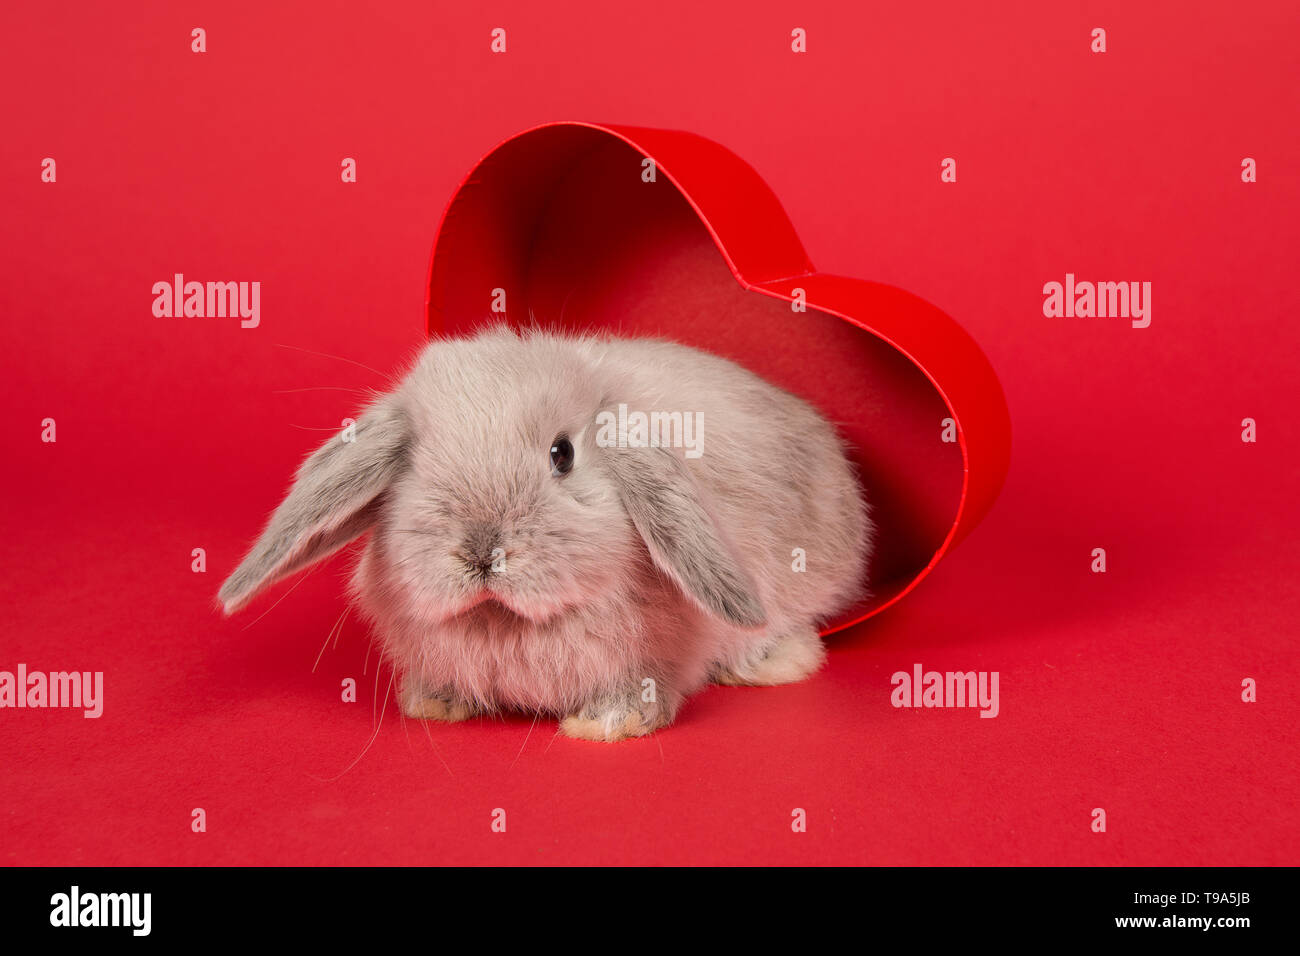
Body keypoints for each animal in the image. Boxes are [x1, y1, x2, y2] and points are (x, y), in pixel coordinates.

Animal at [220, 325, 873, 743]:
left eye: (563, 454)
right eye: (413, 461)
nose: (482, 552)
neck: (508, 624)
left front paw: (604, 724)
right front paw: (433, 703)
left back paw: (772, 660)